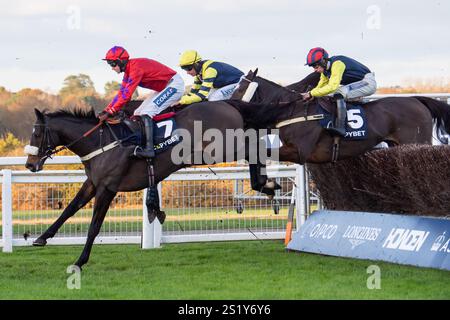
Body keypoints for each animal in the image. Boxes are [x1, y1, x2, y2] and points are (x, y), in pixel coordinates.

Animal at [230, 71, 448, 164]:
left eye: (239, 88)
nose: (229, 104)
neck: (294, 110)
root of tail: (417, 100)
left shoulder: (299, 152)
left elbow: (261, 150)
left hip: (417, 142)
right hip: (396, 145)